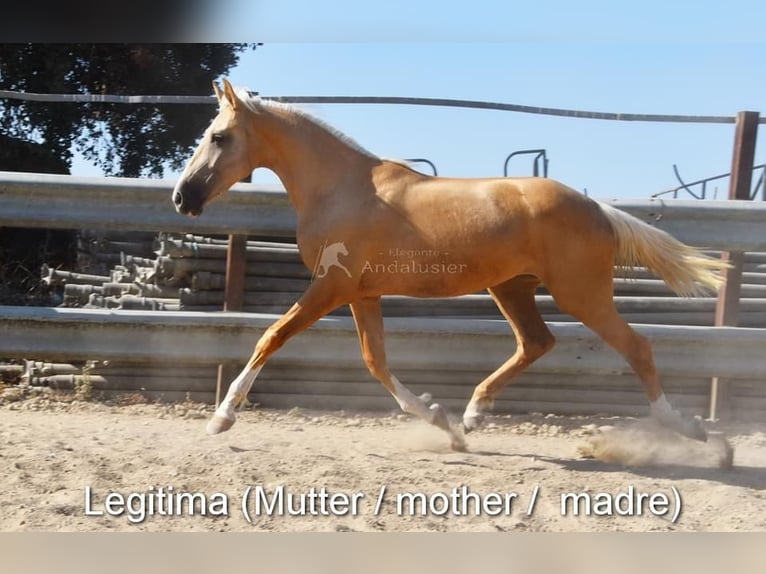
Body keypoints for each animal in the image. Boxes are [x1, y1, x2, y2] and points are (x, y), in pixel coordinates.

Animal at [172, 79, 727, 451]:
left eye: (218, 136)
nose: (182, 197)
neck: (342, 189)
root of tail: (598, 208)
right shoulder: (361, 294)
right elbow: (376, 362)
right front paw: (443, 423)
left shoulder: (331, 287)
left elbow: (272, 337)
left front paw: (222, 418)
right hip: (512, 288)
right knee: (536, 343)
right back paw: (473, 415)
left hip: (580, 294)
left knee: (637, 347)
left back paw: (692, 431)